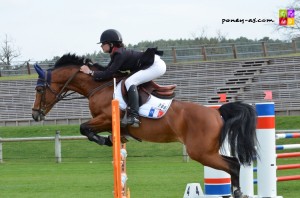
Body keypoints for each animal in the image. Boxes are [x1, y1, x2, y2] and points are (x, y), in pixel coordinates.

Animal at [32, 53, 258, 197]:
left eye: (39, 90)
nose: (35, 115)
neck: (98, 87)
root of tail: (216, 112)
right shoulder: (105, 122)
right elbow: (90, 129)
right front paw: (112, 139)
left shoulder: (106, 118)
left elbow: (84, 128)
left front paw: (105, 140)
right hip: (207, 152)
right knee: (234, 163)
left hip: (201, 152)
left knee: (233, 165)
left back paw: (238, 192)